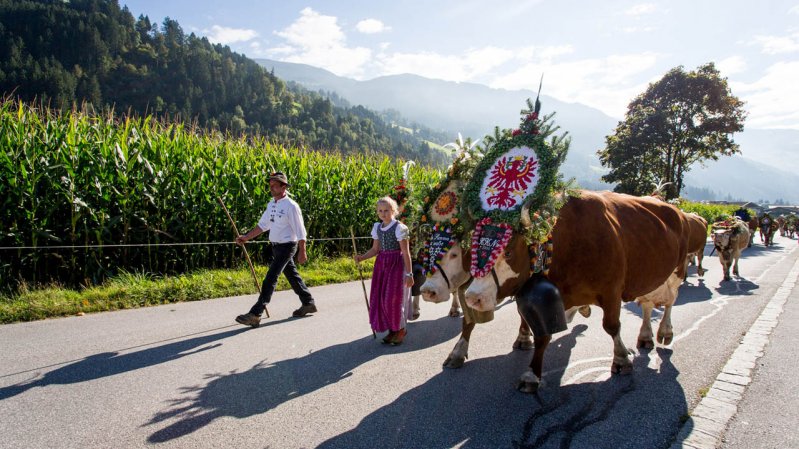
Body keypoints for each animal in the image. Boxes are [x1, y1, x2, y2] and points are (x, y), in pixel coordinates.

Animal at [462, 191, 688, 390]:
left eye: (508, 252)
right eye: (472, 247)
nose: (472, 297)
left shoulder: (612, 291)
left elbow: (612, 326)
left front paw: (622, 359)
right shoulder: (549, 300)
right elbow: (542, 335)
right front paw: (532, 375)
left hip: (677, 271)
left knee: (670, 300)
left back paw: (665, 331)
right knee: (648, 304)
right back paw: (646, 336)